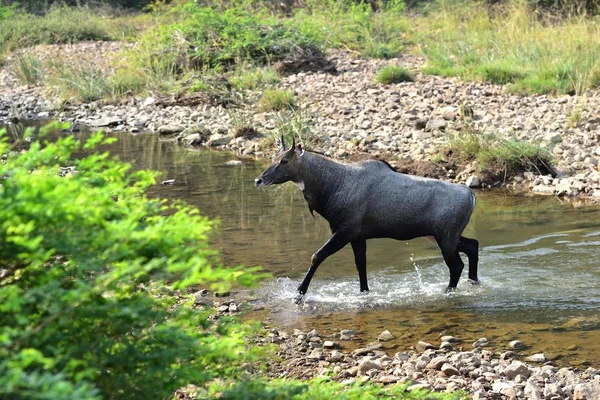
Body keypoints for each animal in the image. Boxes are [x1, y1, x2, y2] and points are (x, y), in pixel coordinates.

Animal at [255, 138, 480, 300]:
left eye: (284, 160)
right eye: (273, 156)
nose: (259, 180)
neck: (332, 186)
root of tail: (471, 195)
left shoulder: (344, 231)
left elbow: (316, 256)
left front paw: (299, 293)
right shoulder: (357, 236)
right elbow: (360, 265)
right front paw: (364, 293)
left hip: (445, 237)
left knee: (456, 265)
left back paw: (448, 291)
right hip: (439, 236)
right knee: (472, 245)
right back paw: (474, 281)